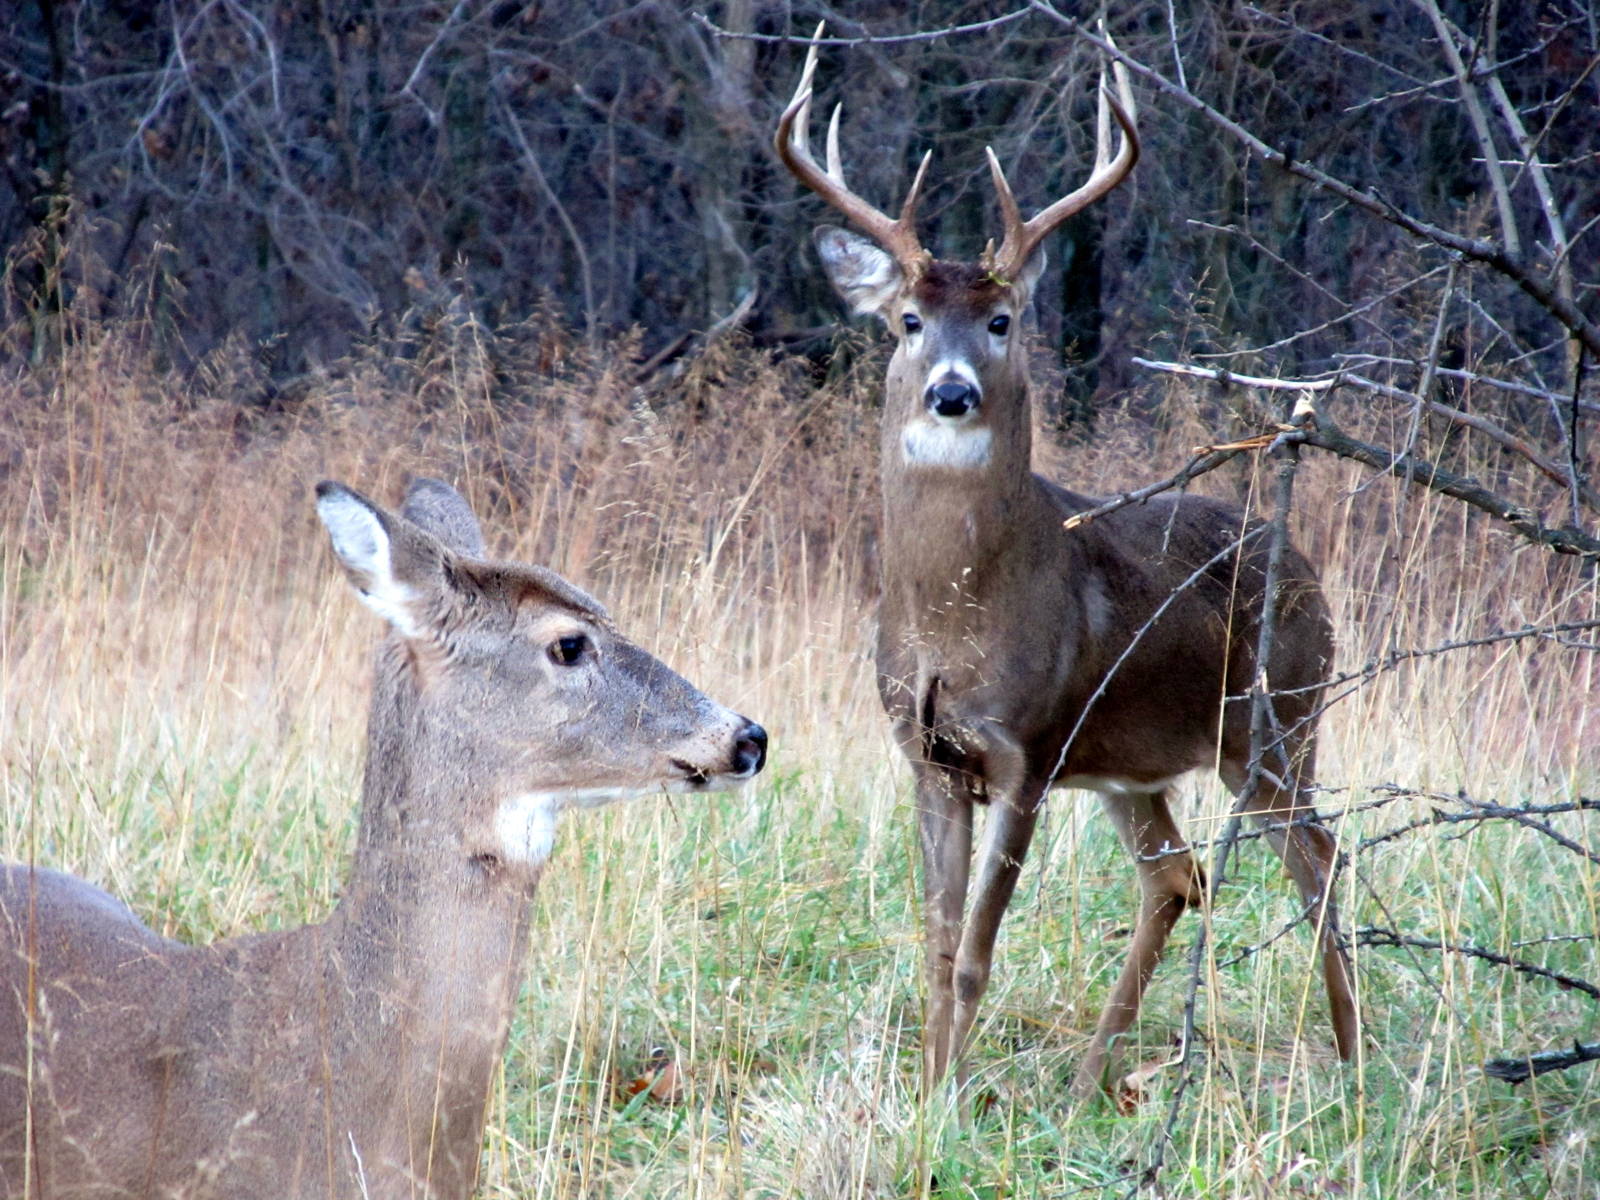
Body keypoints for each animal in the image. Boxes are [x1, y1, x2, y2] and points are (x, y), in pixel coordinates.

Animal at [776, 30, 1357, 1099]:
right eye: (908, 320)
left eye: (1002, 320)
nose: (952, 393)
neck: (953, 618)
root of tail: (1304, 563)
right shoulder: (926, 754)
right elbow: (933, 943)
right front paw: (929, 1083)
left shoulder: (1032, 749)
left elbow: (975, 950)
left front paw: (947, 1099)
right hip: (1142, 763)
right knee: (1178, 874)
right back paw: (1093, 1077)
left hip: (1279, 720)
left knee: (1320, 856)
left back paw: (1352, 1057)